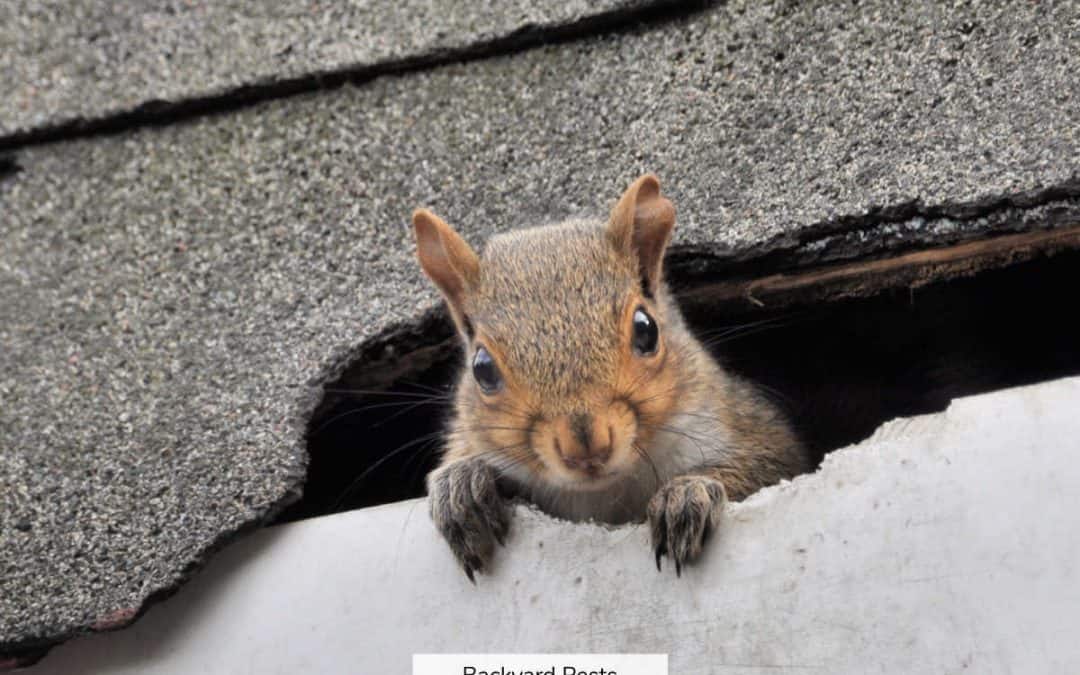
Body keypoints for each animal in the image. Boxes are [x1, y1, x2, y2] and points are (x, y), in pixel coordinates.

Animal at [411, 174, 809, 581]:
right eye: (482, 368)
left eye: (646, 330)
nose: (586, 446)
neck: (604, 494)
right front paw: (459, 485)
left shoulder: (742, 422)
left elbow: (767, 465)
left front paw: (686, 493)